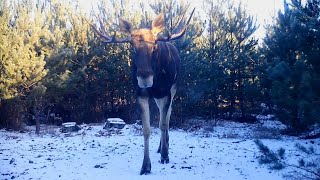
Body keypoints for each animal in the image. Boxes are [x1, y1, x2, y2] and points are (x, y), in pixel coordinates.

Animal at [90, 8, 195, 174]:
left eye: (154, 46)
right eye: (132, 47)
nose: (144, 78)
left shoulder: (166, 92)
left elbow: (163, 124)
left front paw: (165, 156)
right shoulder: (141, 94)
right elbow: (146, 129)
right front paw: (146, 165)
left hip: (173, 89)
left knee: (168, 116)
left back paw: (165, 147)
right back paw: (160, 146)